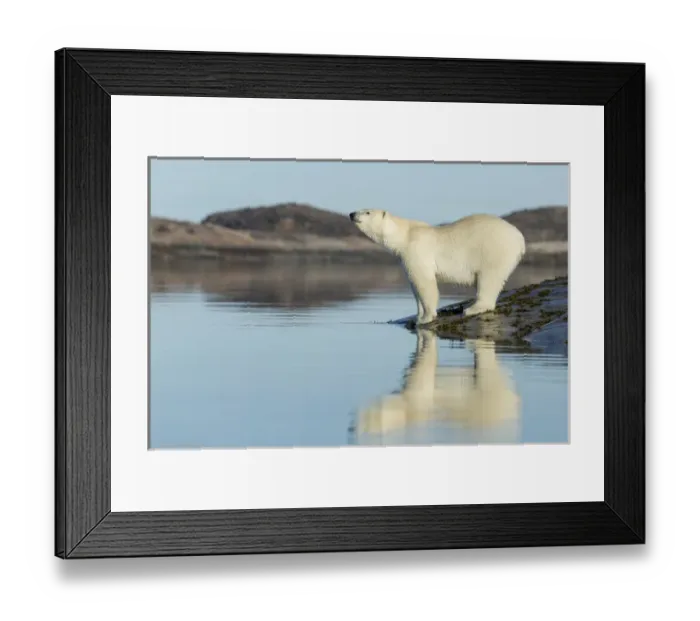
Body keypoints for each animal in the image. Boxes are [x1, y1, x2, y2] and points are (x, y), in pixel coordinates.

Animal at [350, 210, 526, 325]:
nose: (352, 214)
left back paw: (472, 308)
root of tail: (520, 239)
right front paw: (418, 317)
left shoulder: (417, 249)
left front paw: (427, 317)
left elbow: (424, 283)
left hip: (494, 249)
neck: (405, 235)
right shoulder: (404, 257)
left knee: (489, 277)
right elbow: (415, 286)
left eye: (367, 212)